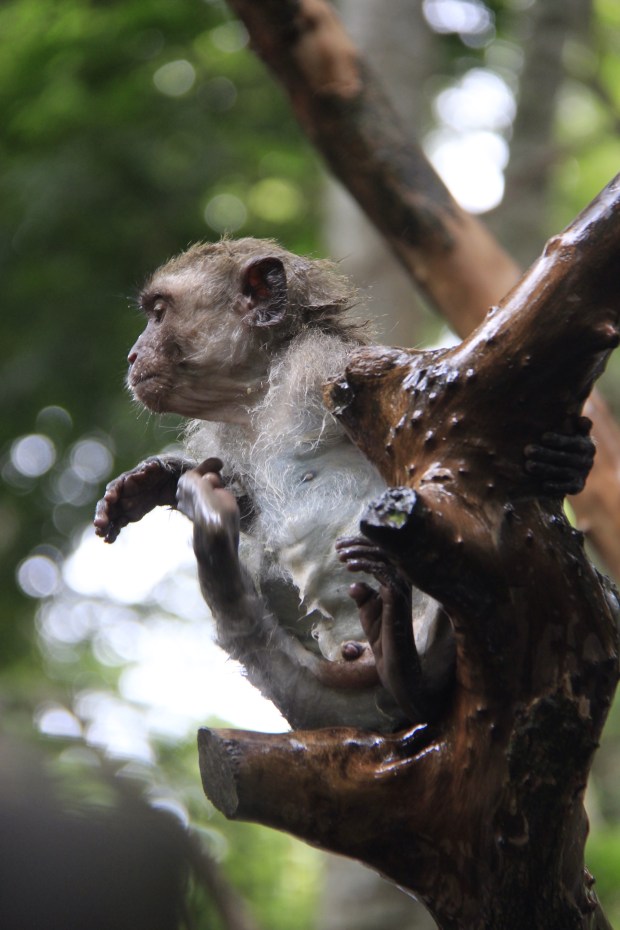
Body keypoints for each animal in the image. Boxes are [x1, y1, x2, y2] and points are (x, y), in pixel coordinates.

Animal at [94, 238, 595, 732]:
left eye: (159, 313)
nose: (132, 355)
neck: (261, 391)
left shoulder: (329, 369)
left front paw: (563, 461)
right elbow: (248, 502)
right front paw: (158, 478)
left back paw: (405, 661)